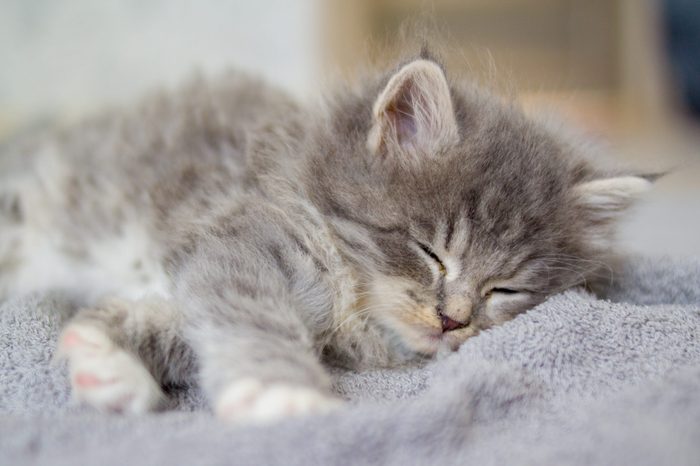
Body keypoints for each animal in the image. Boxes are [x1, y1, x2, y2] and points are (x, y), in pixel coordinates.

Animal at [0, 54, 652, 422]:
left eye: (505, 290)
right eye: (430, 253)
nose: (453, 320)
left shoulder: (204, 268)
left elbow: (168, 325)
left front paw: (104, 357)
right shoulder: (239, 245)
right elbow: (252, 320)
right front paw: (282, 395)